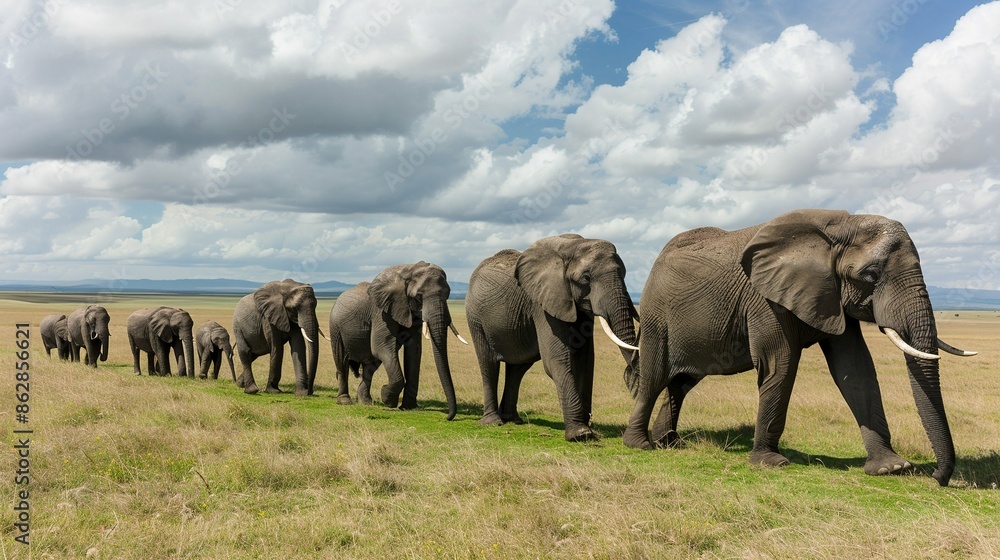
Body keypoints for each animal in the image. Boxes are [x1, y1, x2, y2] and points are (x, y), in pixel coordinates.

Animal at [328, 261, 467, 419]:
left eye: (448, 295)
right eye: (418, 297)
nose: (448, 417)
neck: (409, 270)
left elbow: (413, 352)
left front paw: (408, 407)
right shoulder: (380, 312)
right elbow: (381, 346)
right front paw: (388, 399)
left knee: (371, 365)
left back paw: (366, 402)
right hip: (335, 326)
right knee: (342, 361)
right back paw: (345, 401)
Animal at [465, 234, 640, 441]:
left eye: (624, 274)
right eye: (586, 278)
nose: (632, 381)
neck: (573, 245)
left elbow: (585, 360)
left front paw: (587, 429)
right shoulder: (542, 304)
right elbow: (556, 359)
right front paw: (580, 434)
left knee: (518, 368)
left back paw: (513, 419)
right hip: (475, 317)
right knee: (488, 363)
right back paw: (493, 422)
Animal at [623, 209, 977, 486]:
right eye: (870, 275)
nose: (937, 478)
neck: (839, 227)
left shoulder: (832, 296)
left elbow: (856, 370)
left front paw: (891, 467)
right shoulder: (765, 299)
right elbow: (780, 363)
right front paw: (771, 463)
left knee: (681, 383)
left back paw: (669, 443)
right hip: (657, 316)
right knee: (655, 377)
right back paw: (639, 445)